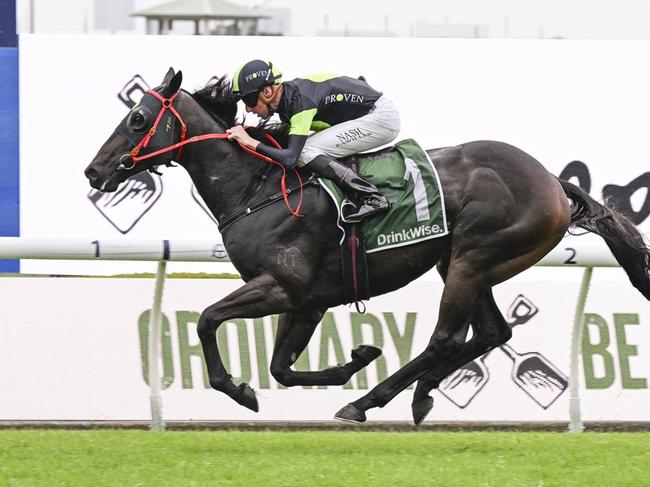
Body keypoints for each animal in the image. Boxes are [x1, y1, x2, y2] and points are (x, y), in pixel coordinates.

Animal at [86, 70, 648, 426]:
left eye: (137, 119)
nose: (94, 172)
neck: (257, 187)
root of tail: (552, 181)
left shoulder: (282, 287)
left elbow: (207, 320)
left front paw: (239, 390)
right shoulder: (308, 301)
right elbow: (281, 368)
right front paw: (353, 358)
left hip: (474, 258)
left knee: (447, 338)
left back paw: (369, 401)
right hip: (464, 262)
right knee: (492, 331)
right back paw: (417, 395)